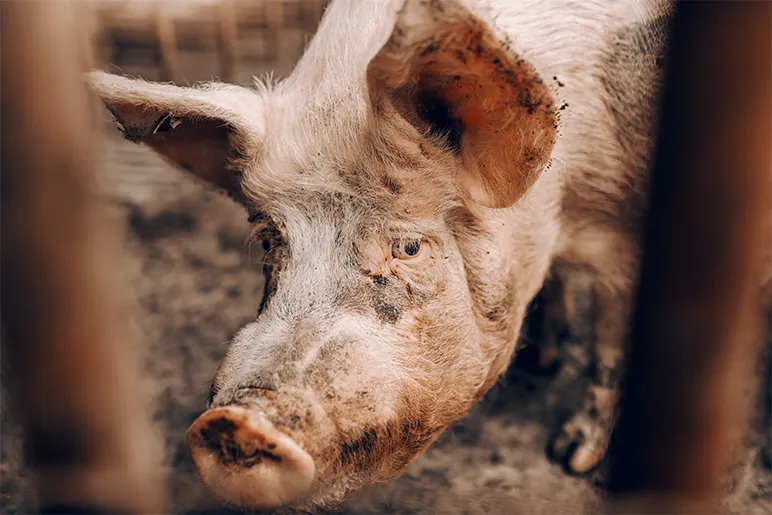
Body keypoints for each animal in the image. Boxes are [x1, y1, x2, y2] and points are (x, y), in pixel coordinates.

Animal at [88, 0, 675, 509]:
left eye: (408, 247)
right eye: (271, 239)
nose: (236, 423)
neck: (560, 211)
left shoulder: (626, 233)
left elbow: (609, 348)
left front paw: (570, 457)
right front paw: (543, 362)